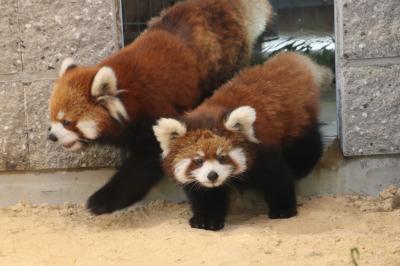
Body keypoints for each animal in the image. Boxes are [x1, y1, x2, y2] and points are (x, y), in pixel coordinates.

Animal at [47, 0, 272, 215]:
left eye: (67, 122)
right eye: (52, 119)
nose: (51, 136)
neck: (128, 97)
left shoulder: (153, 112)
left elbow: (143, 163)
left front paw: (103, 200)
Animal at [153, 52, 332, 231]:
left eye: (222, 157)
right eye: (198, 160)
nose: (212, 175)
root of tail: (291, 58)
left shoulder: (263, 151)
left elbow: (276, 179)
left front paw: (283, 209)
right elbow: (205, 195)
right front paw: (206, 219)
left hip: (297, 118)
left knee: (306, 143)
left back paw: (301, 167)